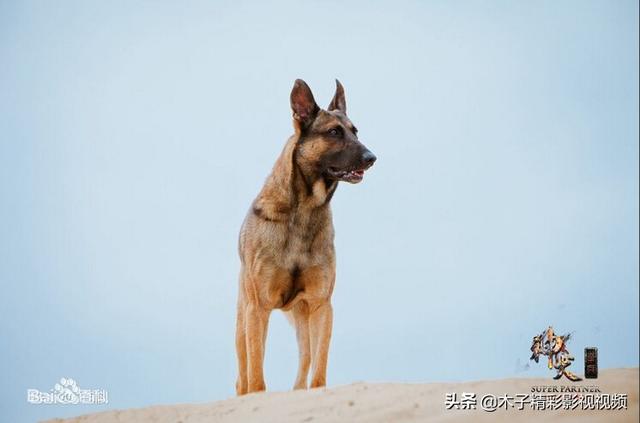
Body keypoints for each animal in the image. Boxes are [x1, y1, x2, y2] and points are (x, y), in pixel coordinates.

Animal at [235, 80, 376, 398]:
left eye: (355, 131)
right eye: (334, 132)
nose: (372, 158)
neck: (304, 210)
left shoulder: (321, 306)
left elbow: (319, 373)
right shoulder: (258, 309)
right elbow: (256, 378)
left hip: (303, 320)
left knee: (305, 364)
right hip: (244, 321)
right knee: (243, 375)